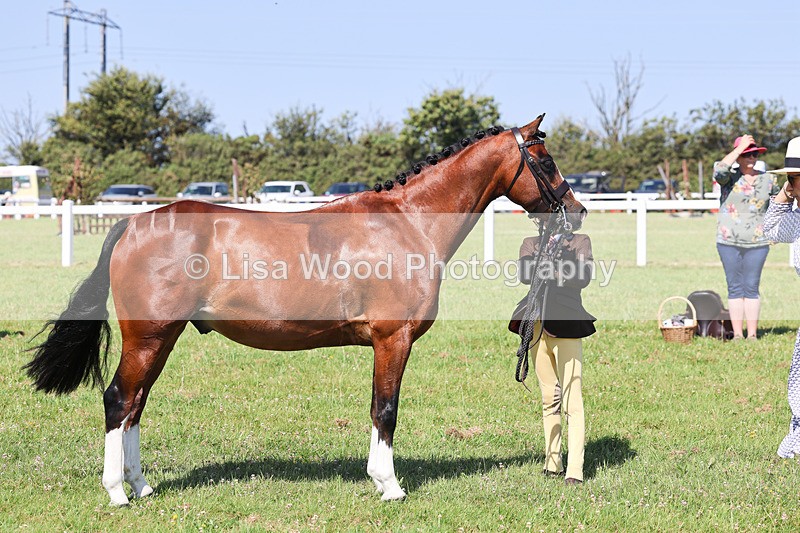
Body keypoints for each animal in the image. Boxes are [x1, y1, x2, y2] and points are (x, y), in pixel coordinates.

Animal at [26, 114, 586, 504]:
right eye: (547, 161)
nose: (576, 211)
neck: (408, 221)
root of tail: (133, 225)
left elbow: (377, 408)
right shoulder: (392, 340)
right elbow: (386, 409)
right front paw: (389, 485)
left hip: (161, 338)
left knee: (136, 405)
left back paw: (140, 486)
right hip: (149, 336)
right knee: (119, 400)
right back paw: (118, 493)